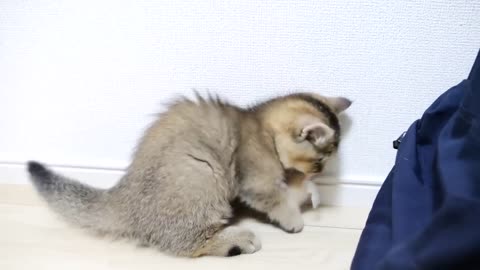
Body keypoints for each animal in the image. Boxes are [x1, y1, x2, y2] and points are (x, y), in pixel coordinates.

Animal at [27, 93, 348, 258]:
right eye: (320, 162)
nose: (319, 172)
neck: (259, 124)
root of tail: (122, 198)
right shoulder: (258, 179)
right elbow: (277, 199)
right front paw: (295, 219)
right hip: (202, 173)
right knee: (186, 244)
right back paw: (238, 240)